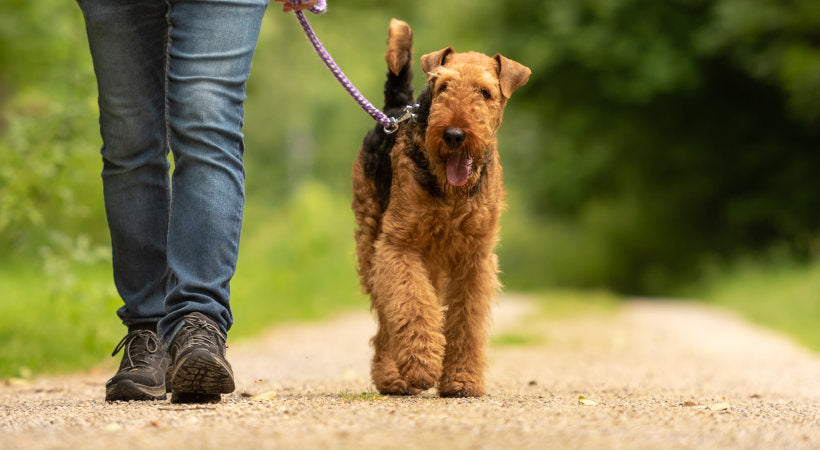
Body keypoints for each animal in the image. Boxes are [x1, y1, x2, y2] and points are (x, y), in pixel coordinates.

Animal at [352, 18, 532, 398]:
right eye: (444, 86)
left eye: (485, 92)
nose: (453, 135)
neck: (452, 194)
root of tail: (396, 110)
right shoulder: (398, 246)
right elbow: (411, 305)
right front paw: (423, 365)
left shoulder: (475, 257)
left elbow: (466, 321)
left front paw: (462, 380)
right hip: (372, 241)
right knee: (388, 316)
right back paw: (392, 376)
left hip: (428, 258)